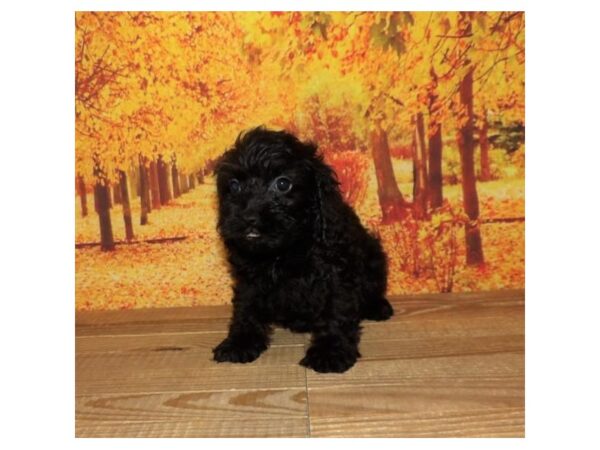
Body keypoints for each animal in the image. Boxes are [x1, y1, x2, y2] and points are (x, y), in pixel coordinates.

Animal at [212, 127, 394, 372]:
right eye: (234, 185)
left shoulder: (337, 272)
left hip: (374, 255)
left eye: (282, 184)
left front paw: (330, 351)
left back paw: (377, 306)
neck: (283, 250)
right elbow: (245, 307)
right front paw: (239, 342)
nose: (249, 218)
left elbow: (336, 310)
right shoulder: (249, 277)